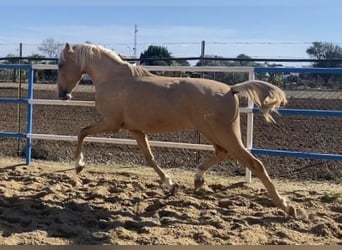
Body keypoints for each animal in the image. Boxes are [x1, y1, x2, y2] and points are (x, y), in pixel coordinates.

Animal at [56, 42, 296, 217]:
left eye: (59, 65)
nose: (63, 94)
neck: (113, 78)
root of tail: (231, 89)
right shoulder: (136, 130)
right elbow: (150, 158)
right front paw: (170, 185)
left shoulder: (111, 123)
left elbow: (82, 132)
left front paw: (79, 165)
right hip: (213, 132)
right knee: (222, 153)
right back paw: (198, 179)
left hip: (224, 133)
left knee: (254, 163)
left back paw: (287, 206)